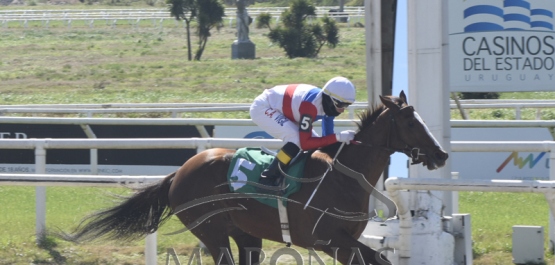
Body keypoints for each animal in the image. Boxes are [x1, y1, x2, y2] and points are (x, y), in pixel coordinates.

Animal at [59, 91, 448, 264]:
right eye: (410, 121)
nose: (441, 154)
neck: (343, 177)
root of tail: (179, 172)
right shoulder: (329, 240)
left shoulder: (346, 241)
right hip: (212, 231)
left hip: (246, 234)